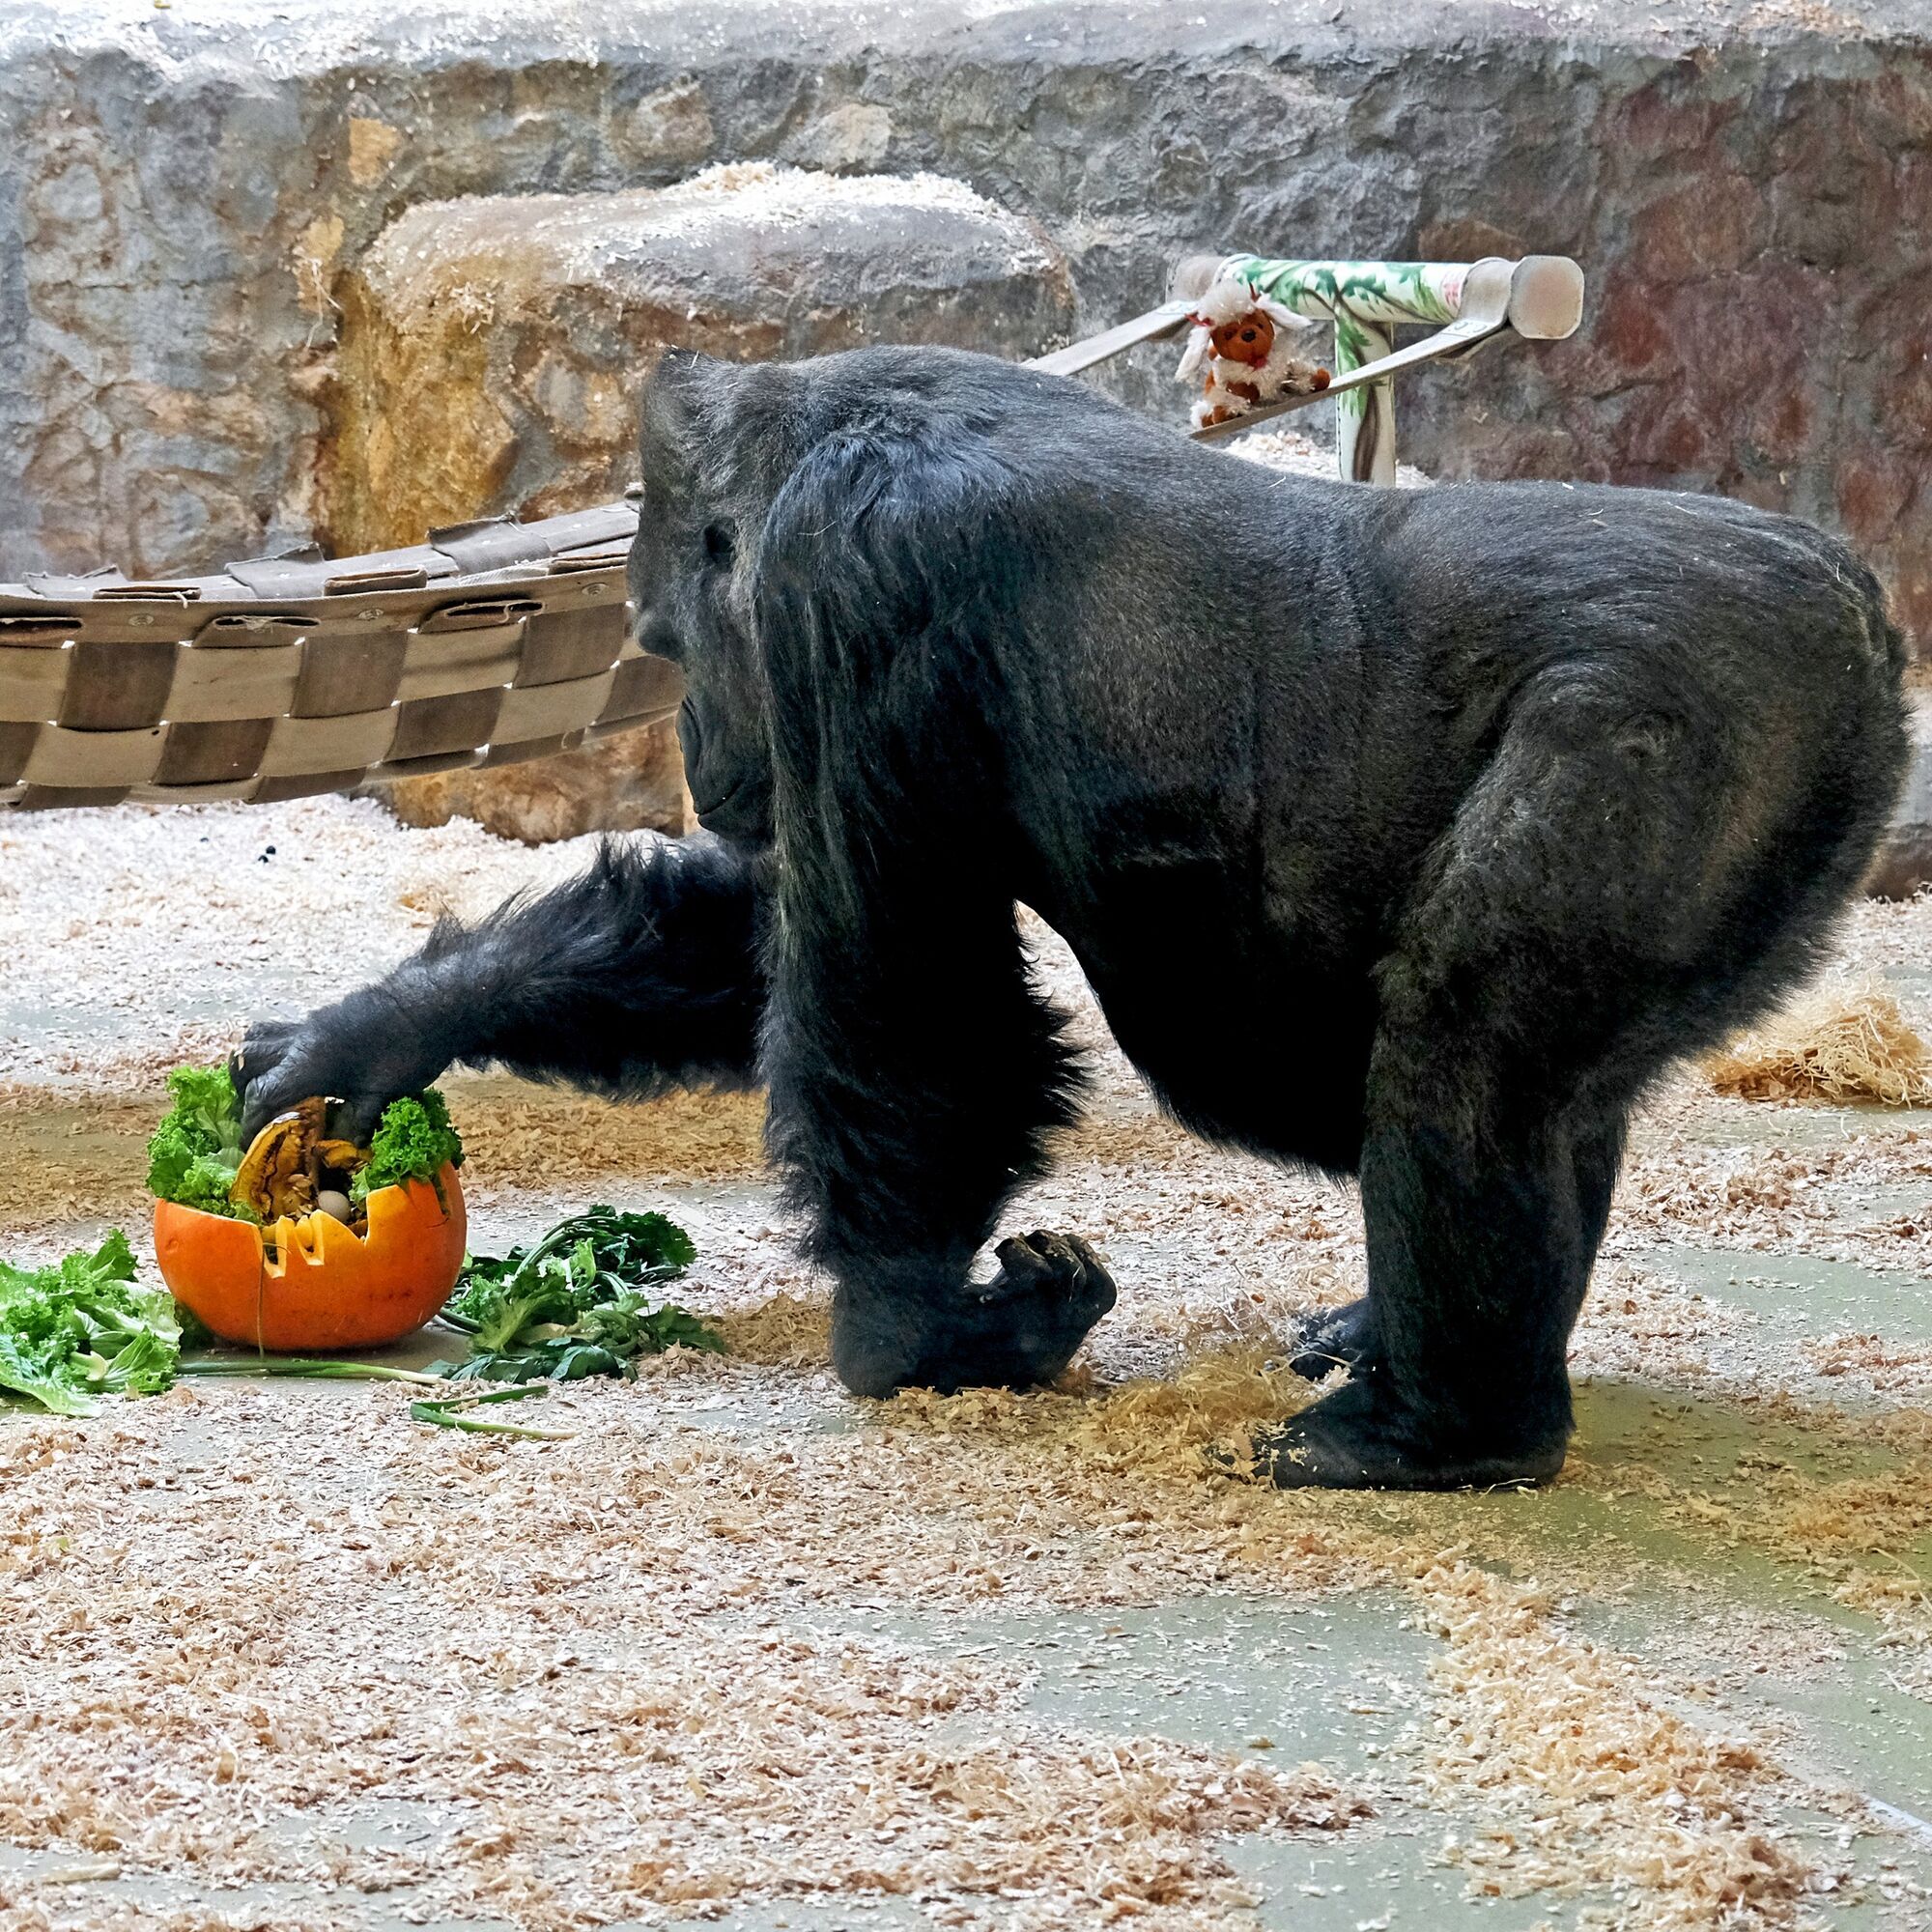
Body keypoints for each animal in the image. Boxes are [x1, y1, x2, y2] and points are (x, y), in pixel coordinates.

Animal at [234, 348, 1909, 1484]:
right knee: (1544, 1088)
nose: (706, 756)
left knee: (1468, 1051)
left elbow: (903, 992)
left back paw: (1437, 1434)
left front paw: (918, 1335)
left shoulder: (857, 587)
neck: (812, 427)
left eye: (662, 639)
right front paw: (372, 1037)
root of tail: (1860, 605)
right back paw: (1415, 1349)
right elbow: (766, 937)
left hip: (1670, 712)